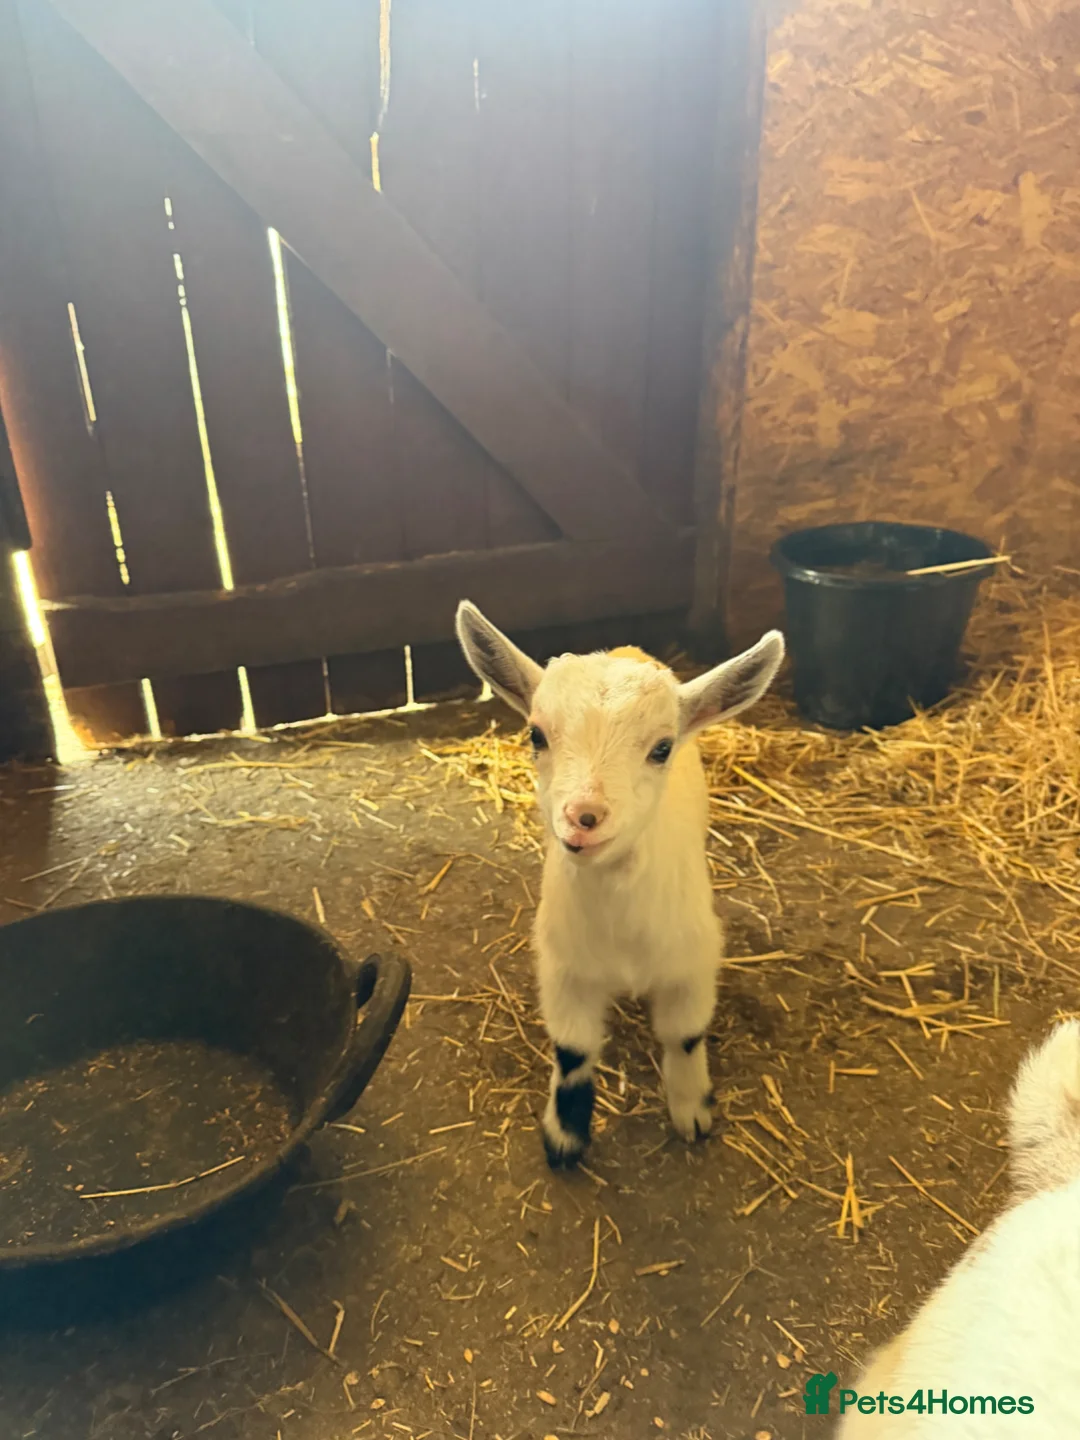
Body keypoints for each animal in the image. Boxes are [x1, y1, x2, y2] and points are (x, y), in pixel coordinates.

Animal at [454, 602, 784, 1167]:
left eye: (662, 748)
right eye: (537, 735)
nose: (583, 817)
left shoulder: (693, 962)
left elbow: (685, 1035)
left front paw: (692, 1111)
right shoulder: (564, 967)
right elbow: (573, 1049)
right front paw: (565, 1136)